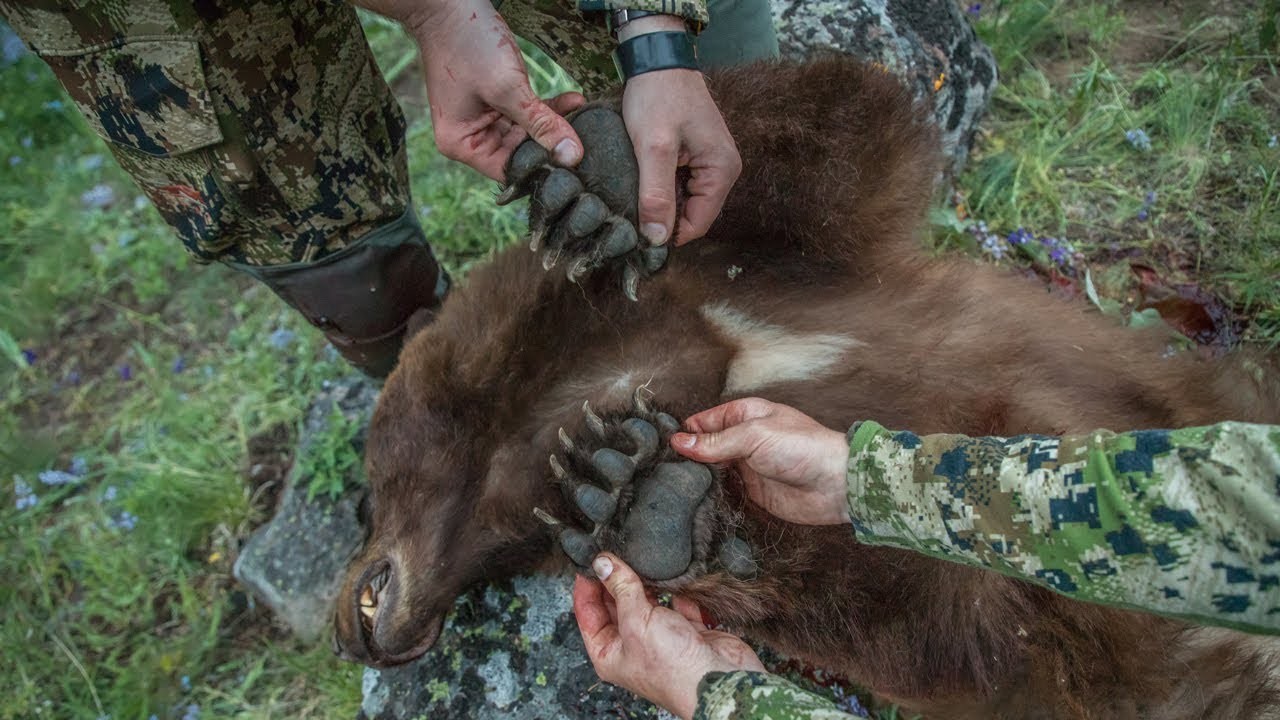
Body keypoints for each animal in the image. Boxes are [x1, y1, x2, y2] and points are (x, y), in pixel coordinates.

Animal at [331, 57, 1280, 718]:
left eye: (361, 501)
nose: (354, 635)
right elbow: (941, 607)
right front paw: (643, 498)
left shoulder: (764, 269)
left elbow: (837, 140)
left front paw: (595, 172)